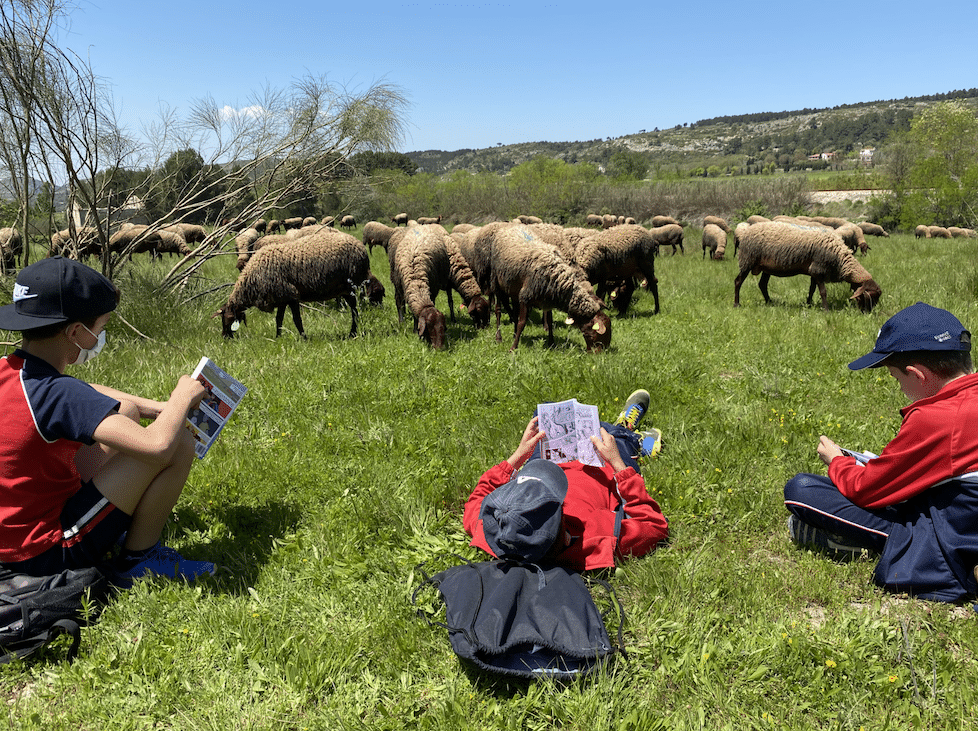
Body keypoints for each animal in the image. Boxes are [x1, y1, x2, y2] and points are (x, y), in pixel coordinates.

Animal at [215, 232, 368, 340]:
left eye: (228, 318)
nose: (224, 337)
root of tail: (361, 246)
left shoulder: (291, 295)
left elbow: (297, 320)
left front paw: (304, 338)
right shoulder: (281, 297)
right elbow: (279, 319)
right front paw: (278, 337)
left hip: (351, 286)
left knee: (355, 311)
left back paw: (353, 334)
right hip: (343, 289)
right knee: (354, 310)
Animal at [728, 223, 880, 314]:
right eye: (868, 296)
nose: (867, 314)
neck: (839, 258)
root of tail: (744, 232)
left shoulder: (814, 271)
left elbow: (812, 290)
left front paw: (809, 304)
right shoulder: (818, 269)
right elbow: (823, 292)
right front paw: (826, 310)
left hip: (766, 267)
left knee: (762, 284)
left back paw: (770, 302)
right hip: (747, 260)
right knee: (738, 282)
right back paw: (736, 304)